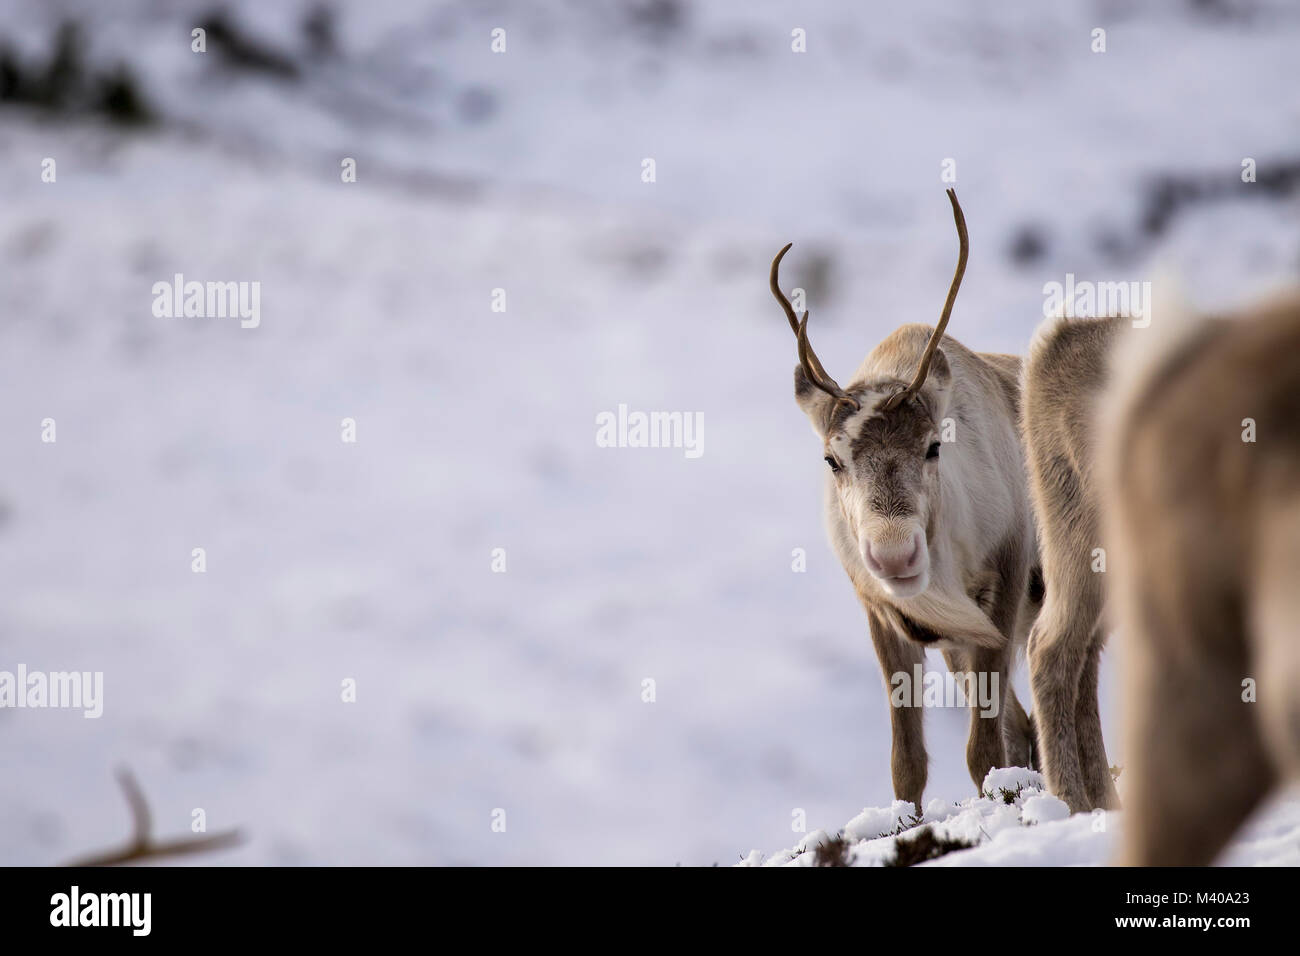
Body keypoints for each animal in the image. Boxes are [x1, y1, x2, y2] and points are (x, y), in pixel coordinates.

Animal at [771, 189, 1039, 813]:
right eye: (832, 459)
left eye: (934, 445)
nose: (894, 555)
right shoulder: (887, 617)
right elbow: (907, 764)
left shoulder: (1004, 588)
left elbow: (983, 753)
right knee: (1028, 727)